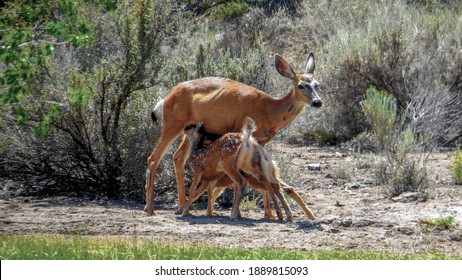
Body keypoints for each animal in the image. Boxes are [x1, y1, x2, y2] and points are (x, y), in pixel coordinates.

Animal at [146, 52, 320, 214]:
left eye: (317, 84)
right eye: (301, 85)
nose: (317, 102)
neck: (269, 110)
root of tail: (166, 97)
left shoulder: (261, 141)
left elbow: (263, 173)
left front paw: (271, 213)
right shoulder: (242, 132)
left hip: (189, 130)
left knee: (178, 157)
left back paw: (181, 207)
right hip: (172, 123)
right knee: (154, 158)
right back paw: (151, 209)